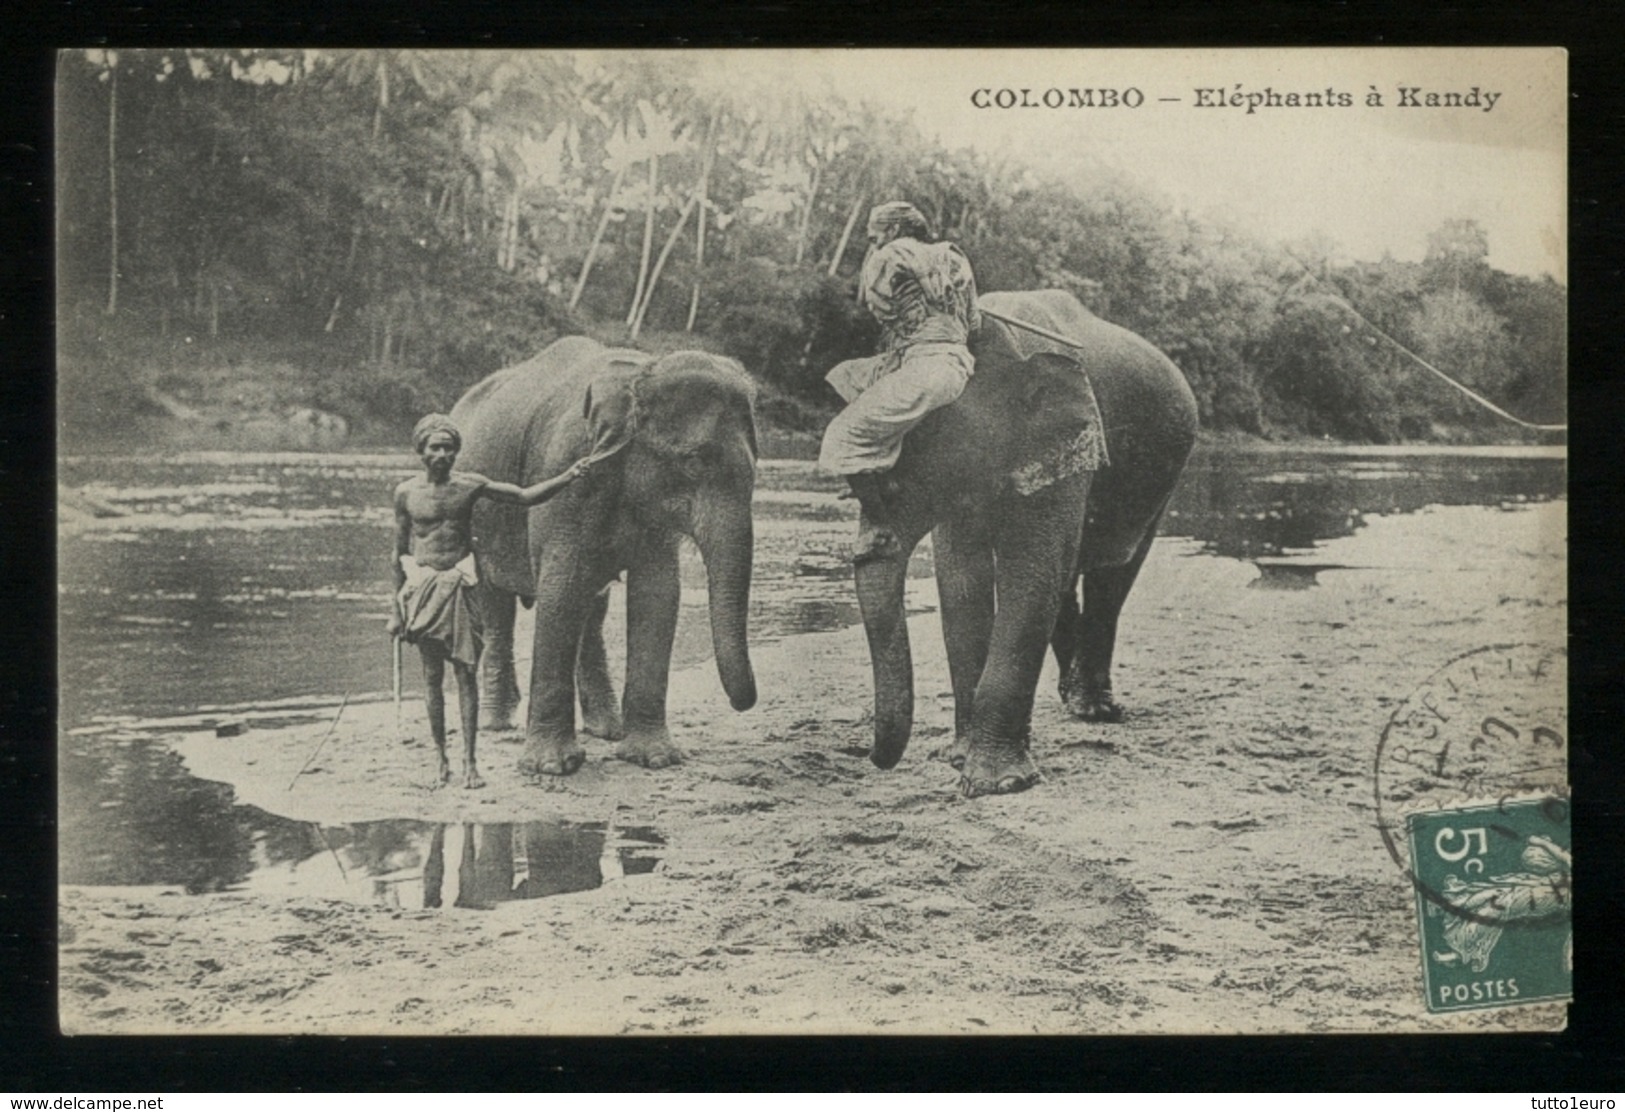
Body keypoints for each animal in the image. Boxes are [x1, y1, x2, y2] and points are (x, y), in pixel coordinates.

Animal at [451, 334, 760, 777]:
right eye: (693, 460)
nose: (741, 703)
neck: (638, 373)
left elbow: (658, 594)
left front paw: (655, 757)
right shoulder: (563, 472)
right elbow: (560, 588)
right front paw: (552, 767)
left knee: (591, 610)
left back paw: (607, 729)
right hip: (478, 521)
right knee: (497, 605)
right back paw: (497, 723)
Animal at [858, 286, 1202, 790]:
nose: (874, 757)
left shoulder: (1068, 440)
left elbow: (1030, 570)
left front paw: (995, 783)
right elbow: (962, 581)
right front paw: (958, 760)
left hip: (1163, 478)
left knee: (1112, 574)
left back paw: (1093, 709)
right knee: (1069, 578)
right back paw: (1071, 697)